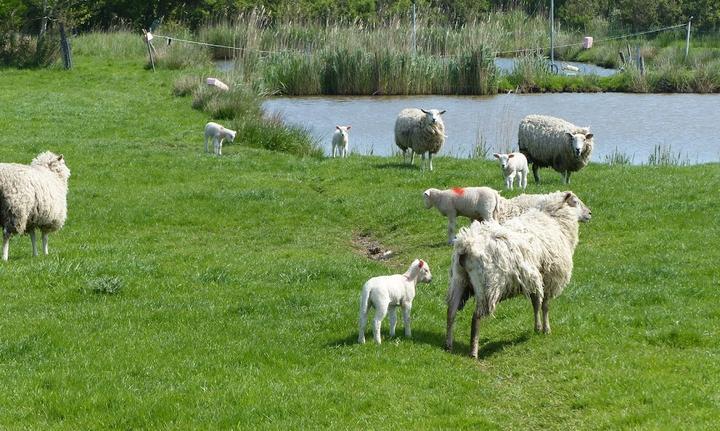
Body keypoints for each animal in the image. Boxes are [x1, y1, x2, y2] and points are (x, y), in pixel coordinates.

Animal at [444, 192, 592, 358]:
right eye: (575, 202)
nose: (590, 213)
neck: (554, 220)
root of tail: (466, 246)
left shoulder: (535, 278)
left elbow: (536, 303)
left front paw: (537, 328)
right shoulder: (550, 278)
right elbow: (545, 306)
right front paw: (546, 329)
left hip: (458, 279)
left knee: (451, 311)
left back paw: (448, 345)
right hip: (488, 285)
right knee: (476, 317)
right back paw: (473, 352)